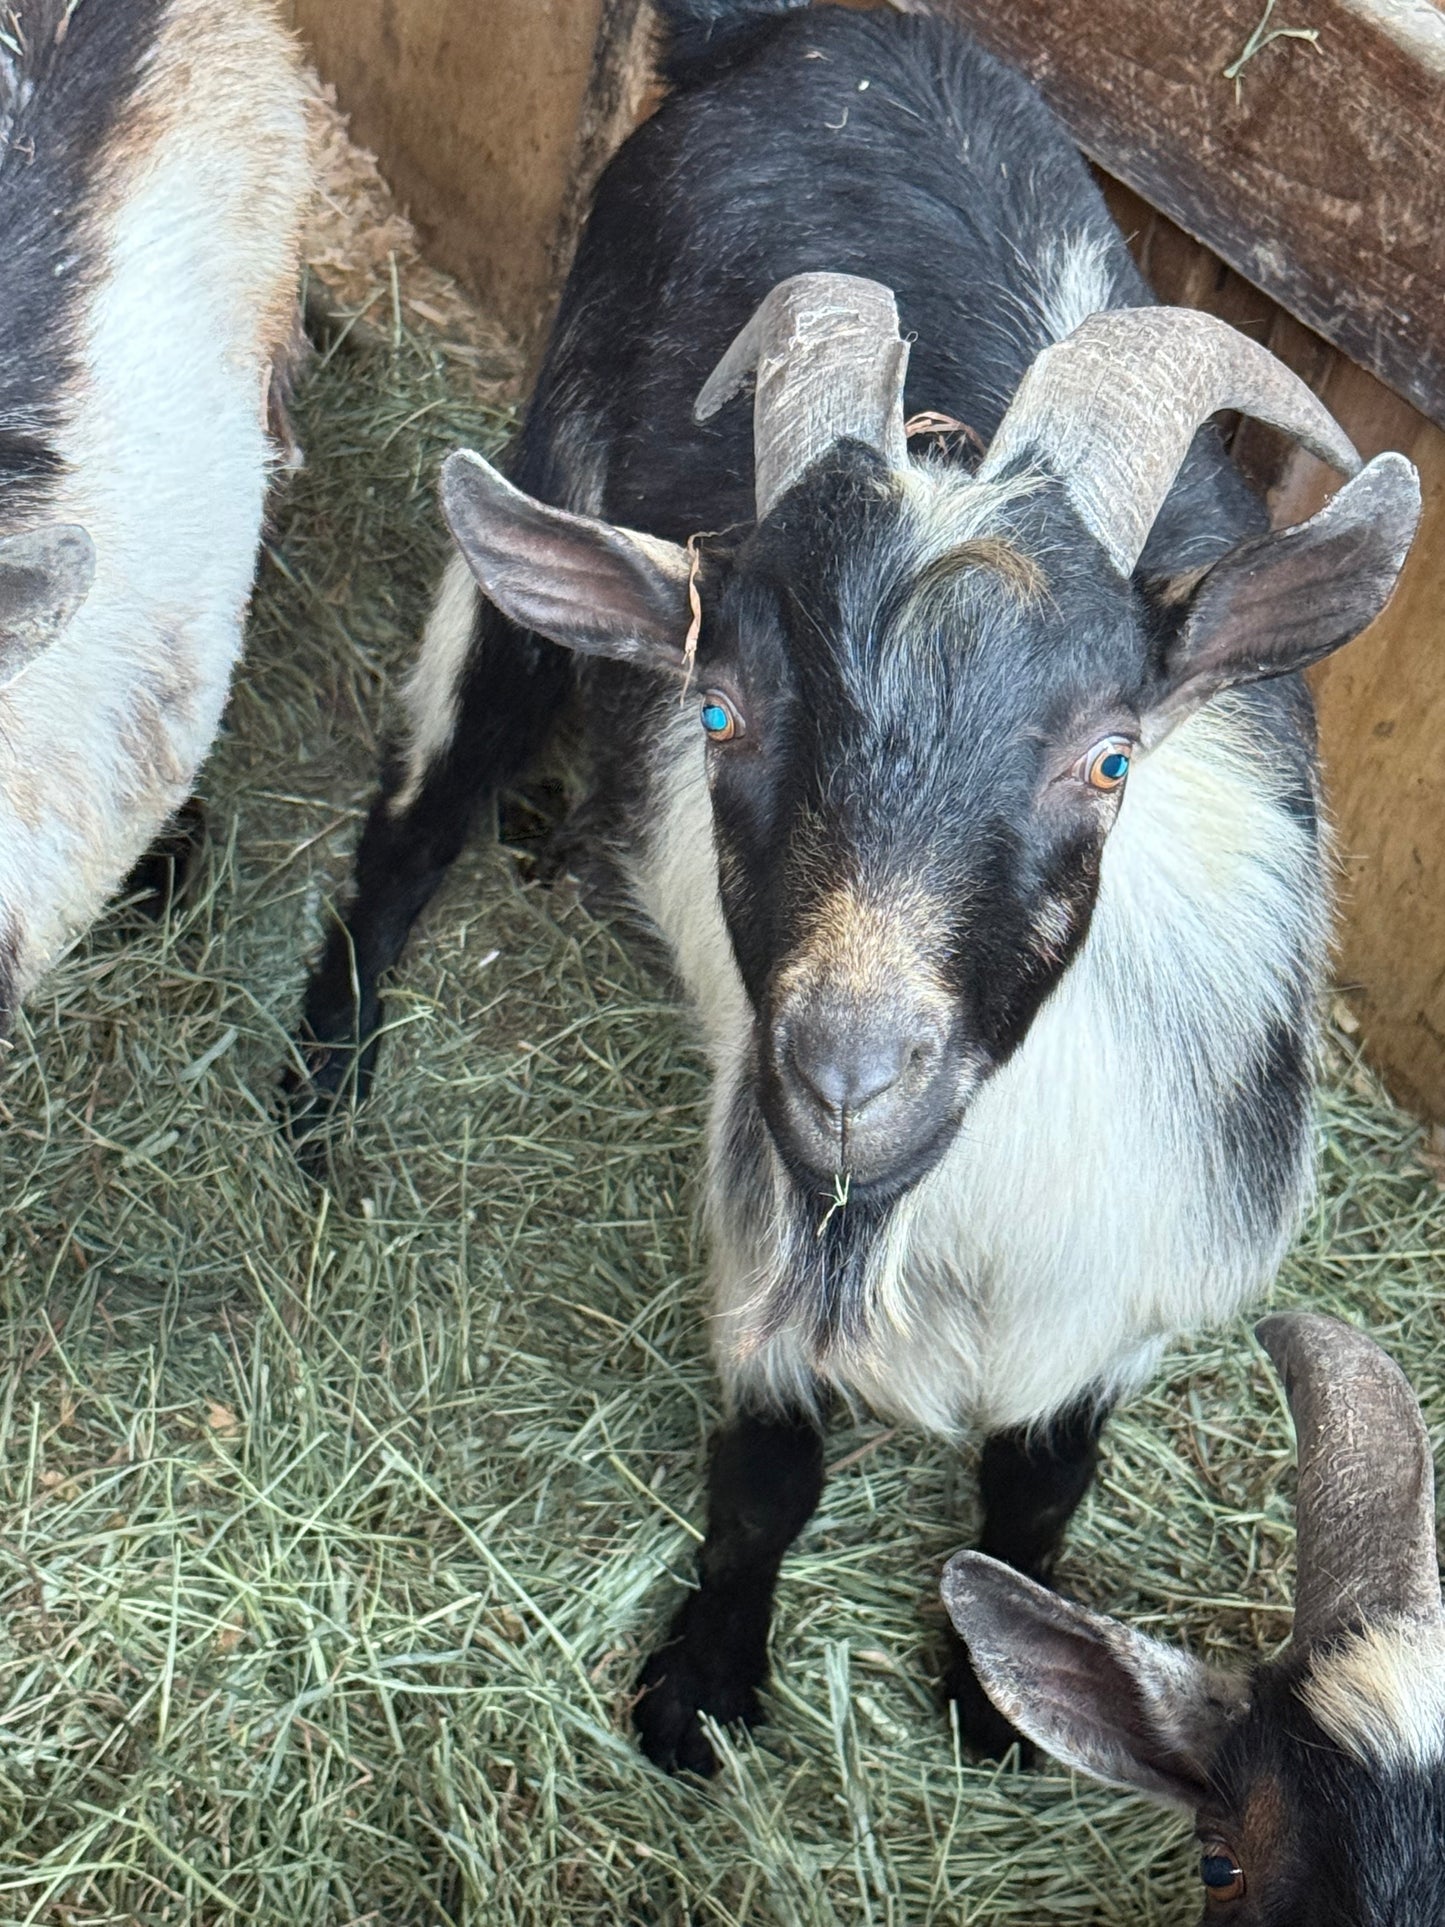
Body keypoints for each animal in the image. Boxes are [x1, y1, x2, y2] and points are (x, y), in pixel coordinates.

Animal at [284, 0, 1420, 1775]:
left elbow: (1041, 1480)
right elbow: (768, 1469)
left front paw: (1000, 1694)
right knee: (416, 806)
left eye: (1109, 755)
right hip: (547, 471)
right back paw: (325, 1084)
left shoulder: (1132, 1276)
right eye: (720, 710)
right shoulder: (762, 1224)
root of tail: (804, 31)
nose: (845, 1075)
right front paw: (700, 1685)